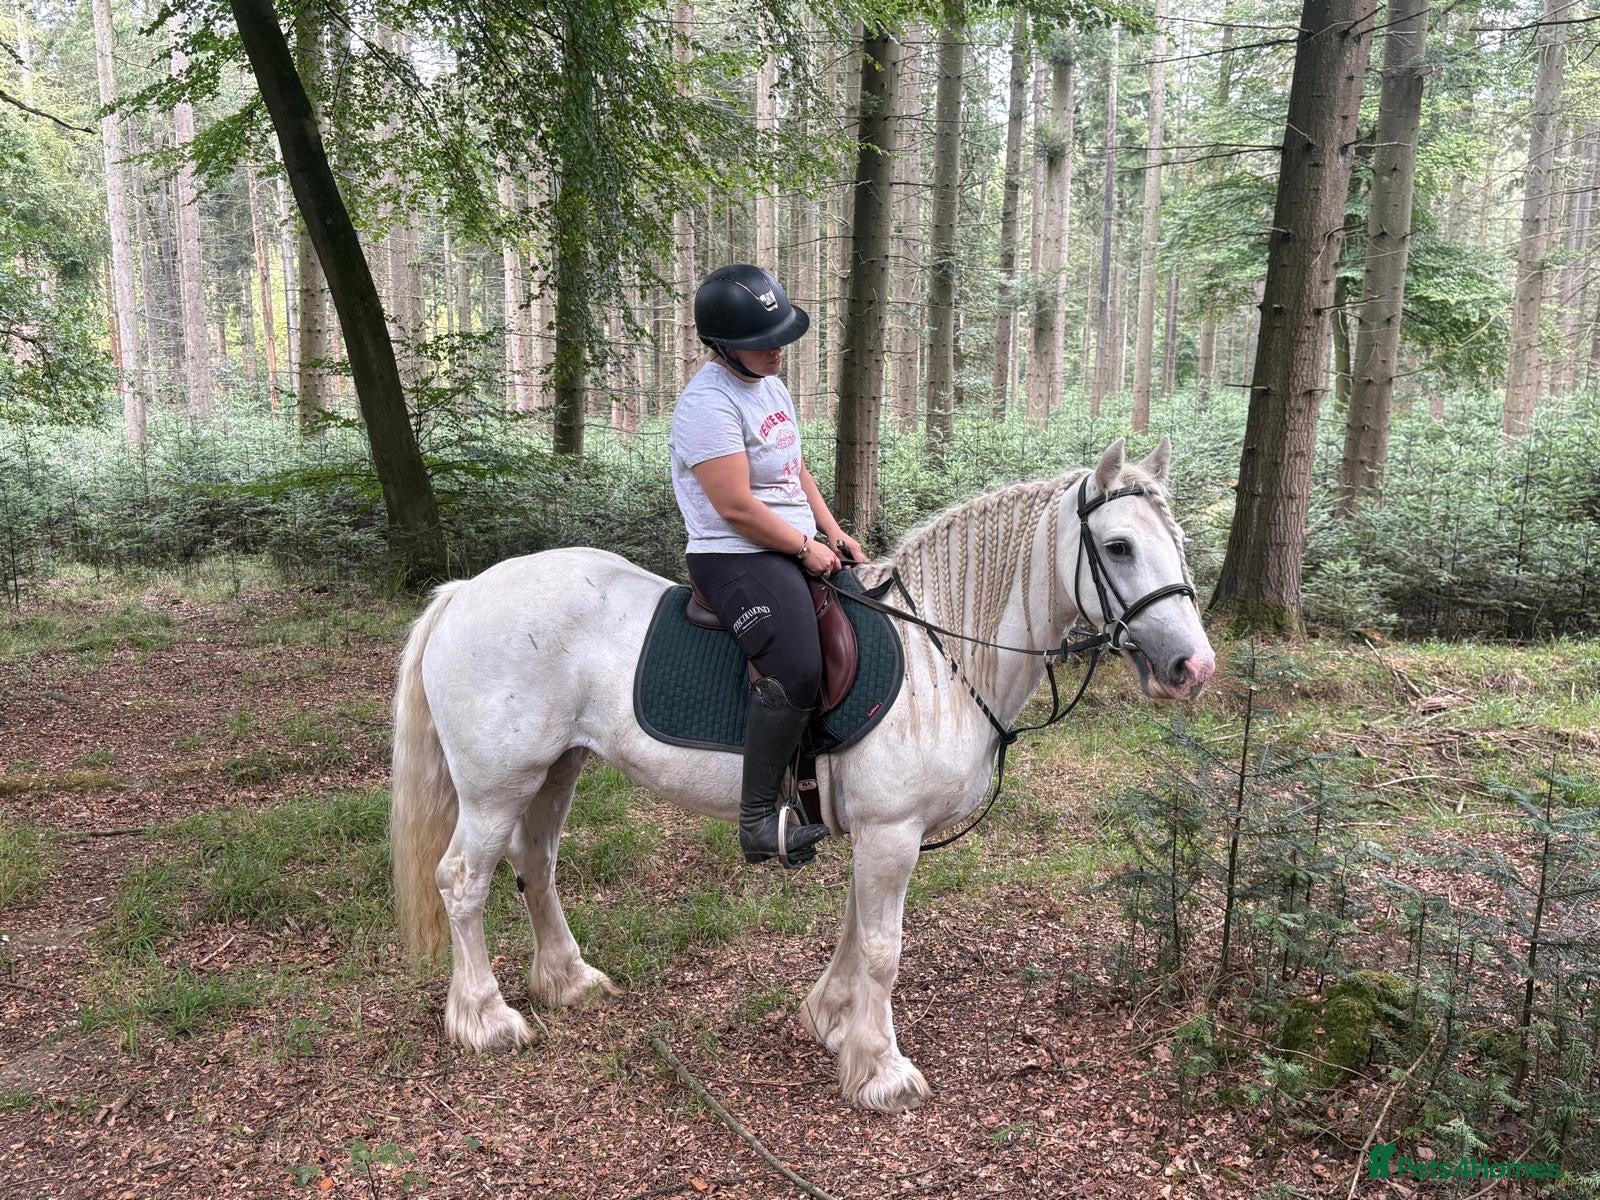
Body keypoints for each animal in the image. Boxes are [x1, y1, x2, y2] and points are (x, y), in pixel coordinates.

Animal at [390, 436, 1216, 1113]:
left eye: (1176, 543)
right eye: (1117, 547)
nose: (1193, 667)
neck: (939, 660)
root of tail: (467, 591)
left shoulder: (880, 833)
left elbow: (856, 927)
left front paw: (832, 1021)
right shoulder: (892, 831)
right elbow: (884, 948)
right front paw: (880, 1070)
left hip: (556, 769)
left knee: (536, 864)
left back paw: (567, 980)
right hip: (497, 784)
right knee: (463, 881)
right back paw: (485, 1018)